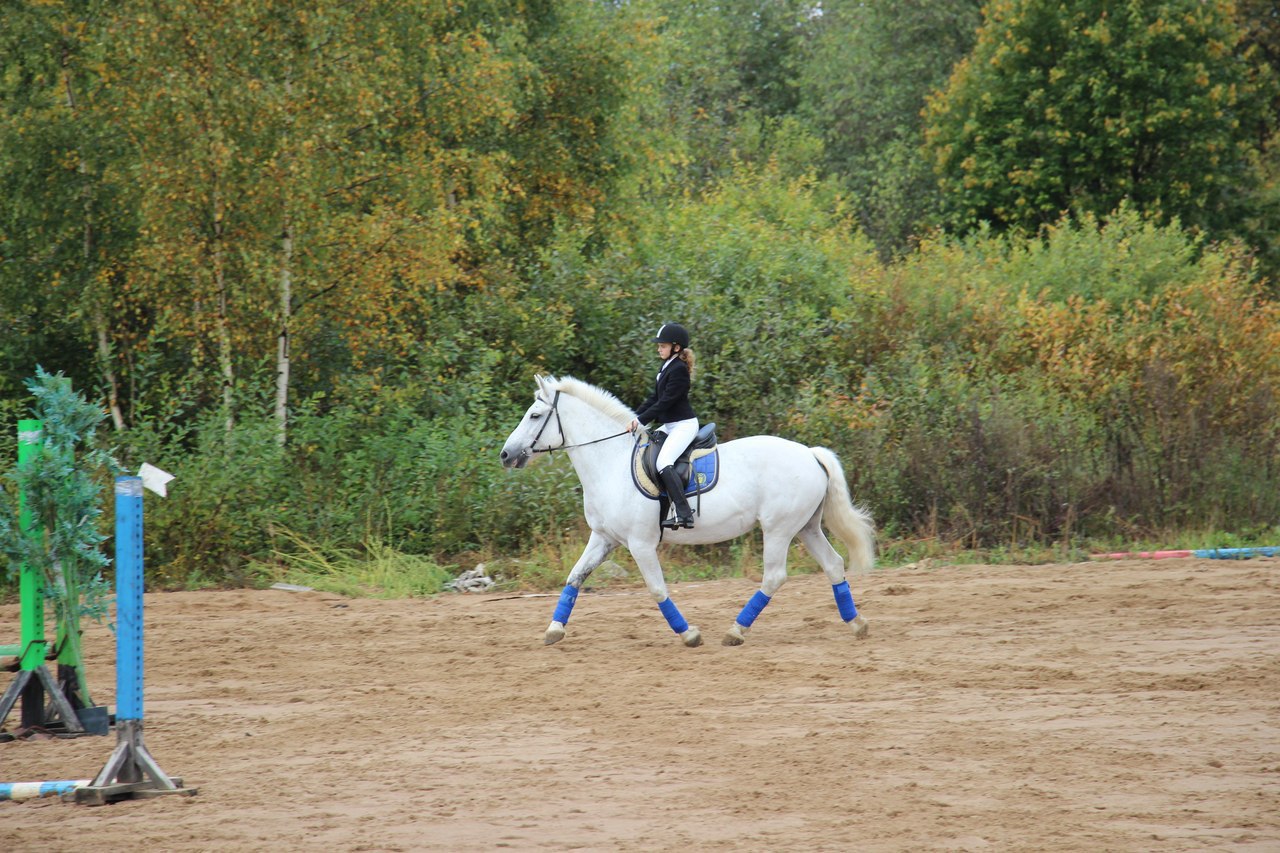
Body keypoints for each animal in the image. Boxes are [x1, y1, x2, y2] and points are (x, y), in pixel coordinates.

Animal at [494, 371, 875, 645]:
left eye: (535, 415)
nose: (506, 455)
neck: (610, 462)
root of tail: (810, 453)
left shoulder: (640, 544)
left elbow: (657, 589)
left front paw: (689, 633)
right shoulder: (603, 538)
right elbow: (574, 577)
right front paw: (554, 630)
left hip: (779, 529)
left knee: (774, 576)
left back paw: (736, 631)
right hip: (806, 527)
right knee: (833, 565)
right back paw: (857, 624)